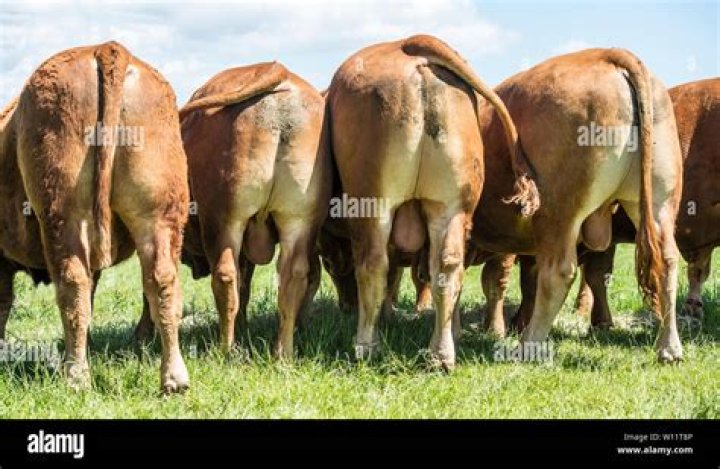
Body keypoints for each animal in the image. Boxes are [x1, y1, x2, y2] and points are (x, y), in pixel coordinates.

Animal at [0, 42, 191, 392]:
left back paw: (76, 377)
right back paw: (174, 379)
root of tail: (105, 48)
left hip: (64, 215)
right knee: (161, 282)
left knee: (73, 285)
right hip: (158, 215)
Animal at [326, 34, 539, 370]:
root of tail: (408, 45)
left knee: (373, 265)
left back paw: (367, 345)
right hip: (450, 206)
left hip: (373, 203)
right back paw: (441, 355)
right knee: (447, 269)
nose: (345, 306)